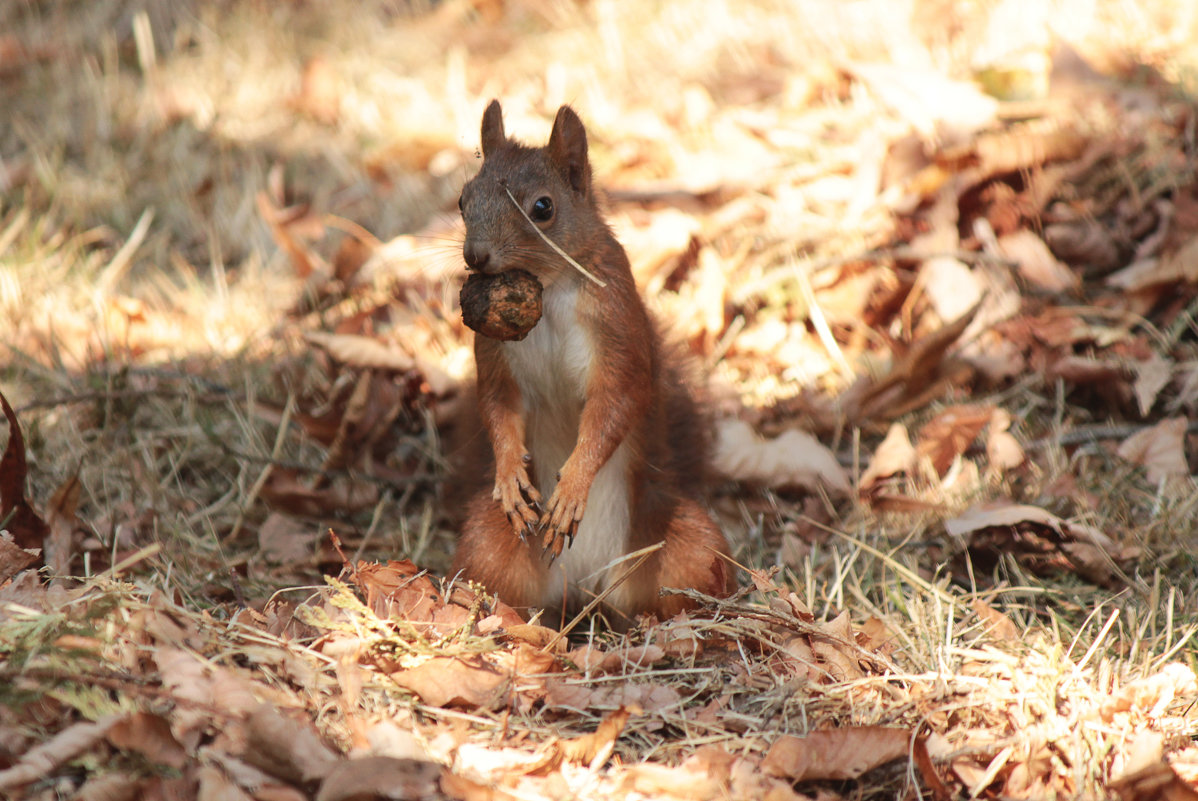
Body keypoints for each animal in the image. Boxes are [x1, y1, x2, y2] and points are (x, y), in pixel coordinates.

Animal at [450, 99, 728, 622]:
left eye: (543, 208)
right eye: (462, 199)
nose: (476, 256)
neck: (550, 288)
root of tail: (587, 585)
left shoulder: (615, 321)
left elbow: (615, 403)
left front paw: (574, 486)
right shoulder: (493, 352)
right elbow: (498, 406)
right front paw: (509, 474)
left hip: (689, 548)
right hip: (487, 545)